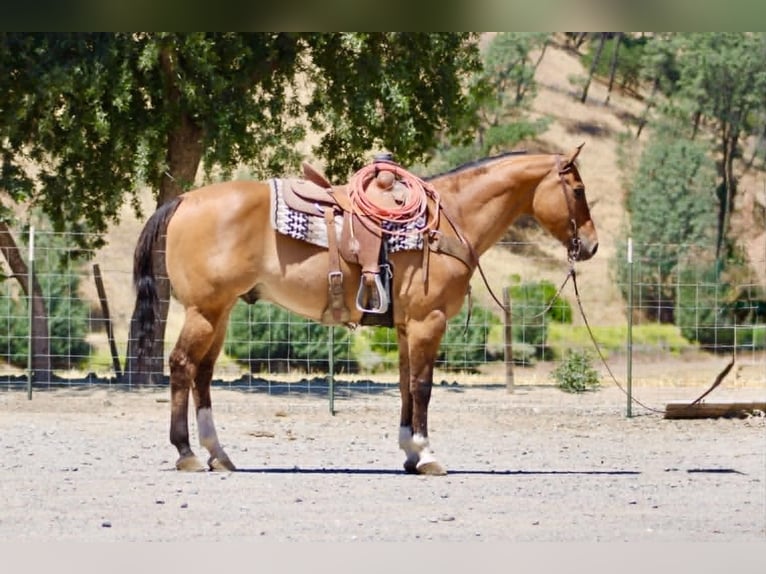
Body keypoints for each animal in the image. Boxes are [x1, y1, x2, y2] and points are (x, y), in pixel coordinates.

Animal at [132, 144, 598, 476]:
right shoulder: (429, 322)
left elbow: (406, 386)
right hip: (205, 311)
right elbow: (423, 387)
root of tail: (184, 199)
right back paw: (187, 453)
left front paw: (410, 453)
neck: (446, 222)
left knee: (202, 374)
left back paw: (218, 454)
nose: (591, 246)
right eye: (578, 191)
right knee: (181, 366)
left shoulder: (409, 327)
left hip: (220, 312)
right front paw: (428, 455)